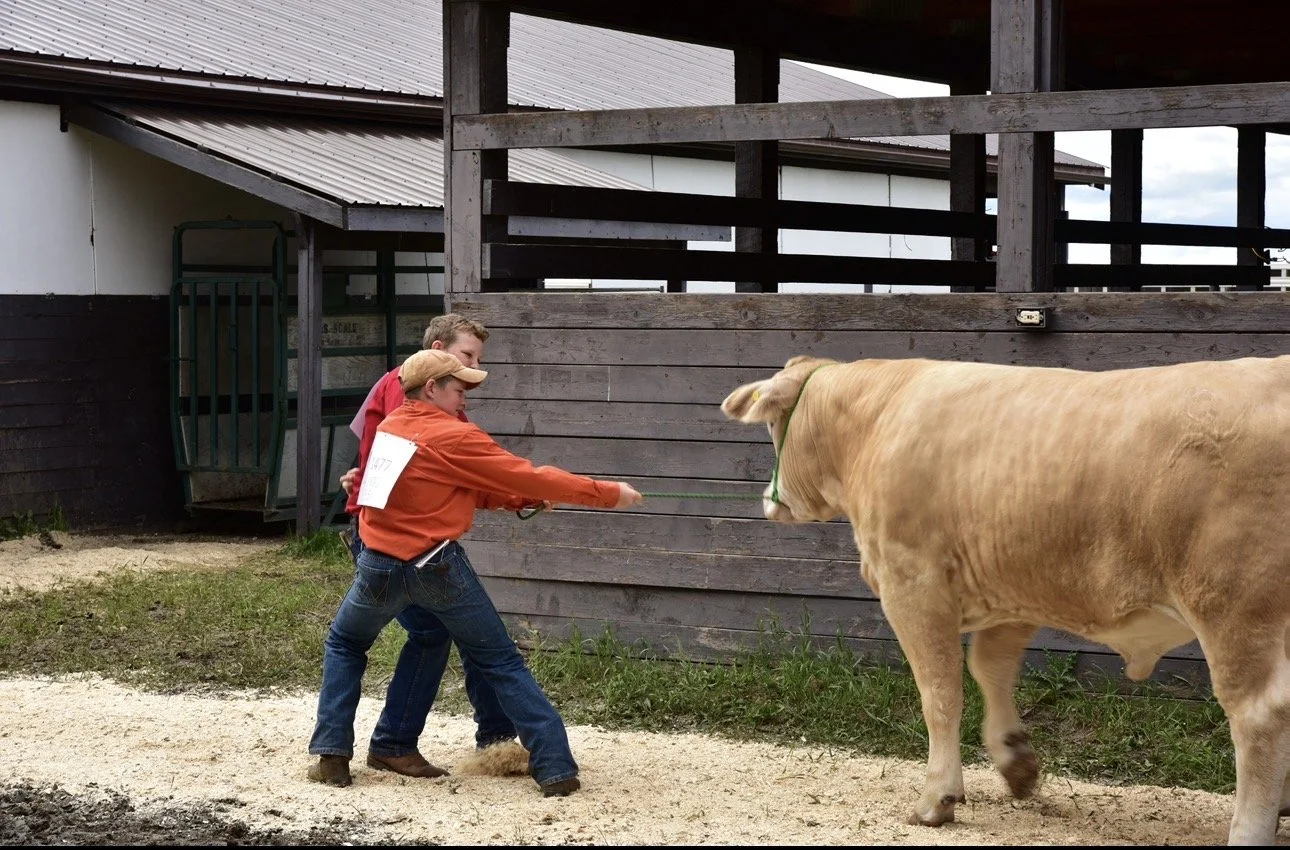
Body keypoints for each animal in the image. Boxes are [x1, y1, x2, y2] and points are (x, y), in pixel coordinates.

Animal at [721, 354, 1290, 846]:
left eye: (773, 426)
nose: (769, 500)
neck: (877, 418)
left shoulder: (913, 582)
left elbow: (940, 691)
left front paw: (938, 797)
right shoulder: (1012, 589)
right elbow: (989, 667)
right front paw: (1016, 761)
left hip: (1234, 603)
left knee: (1259, 714)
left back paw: (1250, 828)